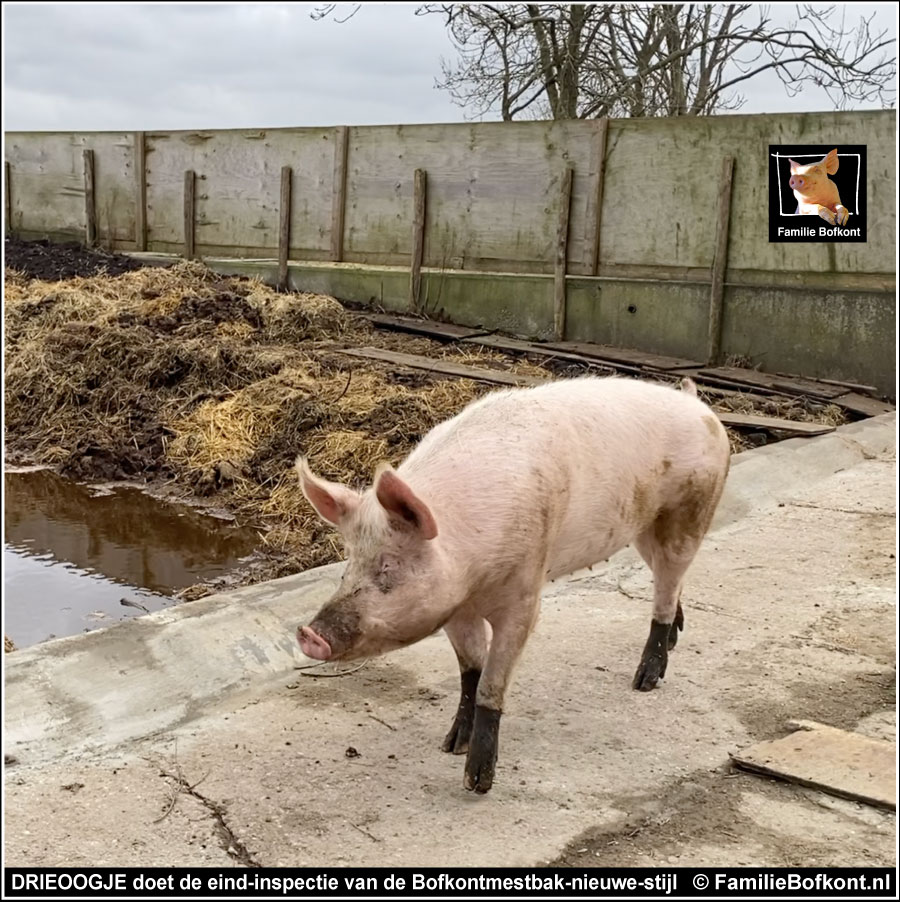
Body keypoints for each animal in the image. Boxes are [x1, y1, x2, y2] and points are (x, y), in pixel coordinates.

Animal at [296, 378, 732, 796]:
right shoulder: (455, 608)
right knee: (666, 581)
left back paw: (645, 681)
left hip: (692, 510)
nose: (309, 634)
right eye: (348, 566)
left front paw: (477, 782)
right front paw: (451, 745)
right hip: (642, 526)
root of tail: (697, 403)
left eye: (388, 565)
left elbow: (491, 682)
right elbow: (470, 671)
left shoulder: (523, 595)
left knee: (668, 585)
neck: (474, 569)